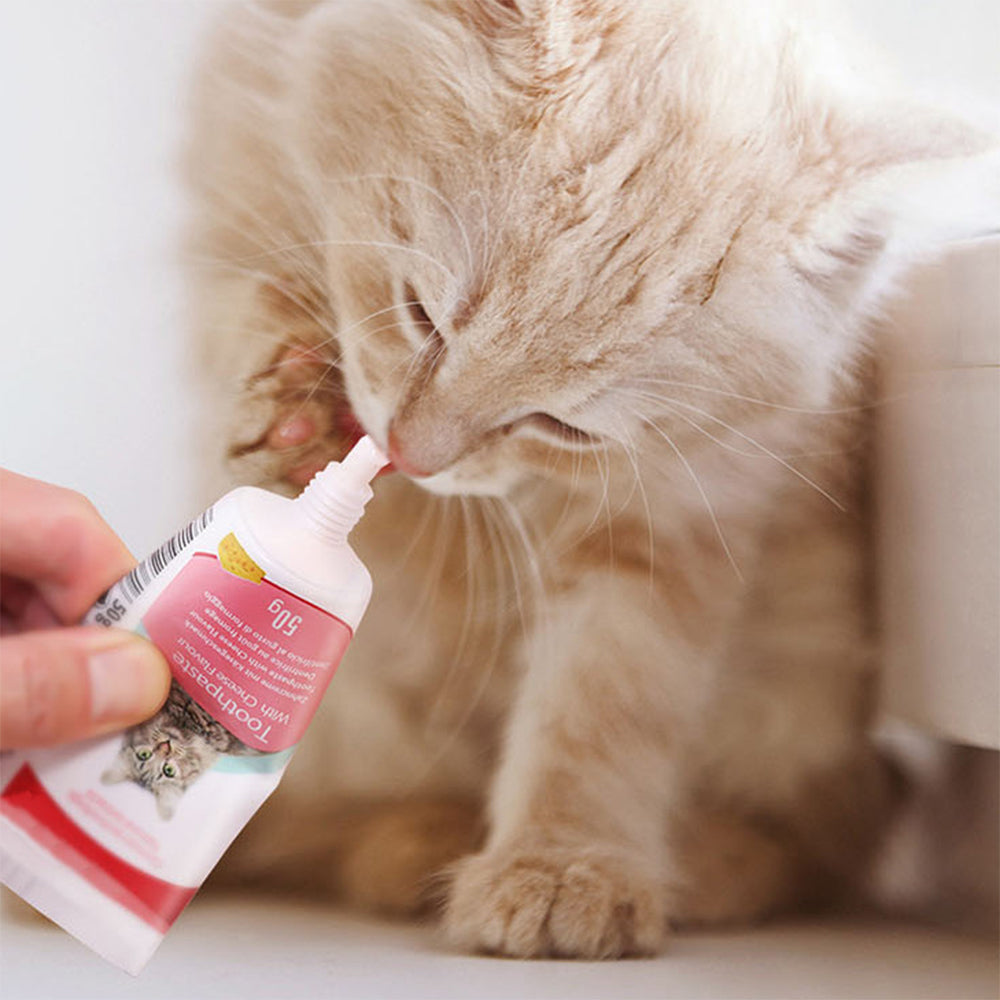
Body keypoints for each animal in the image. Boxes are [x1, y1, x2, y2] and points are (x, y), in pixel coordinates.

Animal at [186, 0, 992, 960]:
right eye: (422, 315)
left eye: (564, 426)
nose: (416, 455)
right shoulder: (237, 160)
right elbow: (250, 289)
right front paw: (292, 408)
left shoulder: (686, 507)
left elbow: (602, 700)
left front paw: (560, 870)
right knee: (308, 822)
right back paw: (415, 840)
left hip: (811, 662)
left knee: (840, 825)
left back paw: (711, 862)